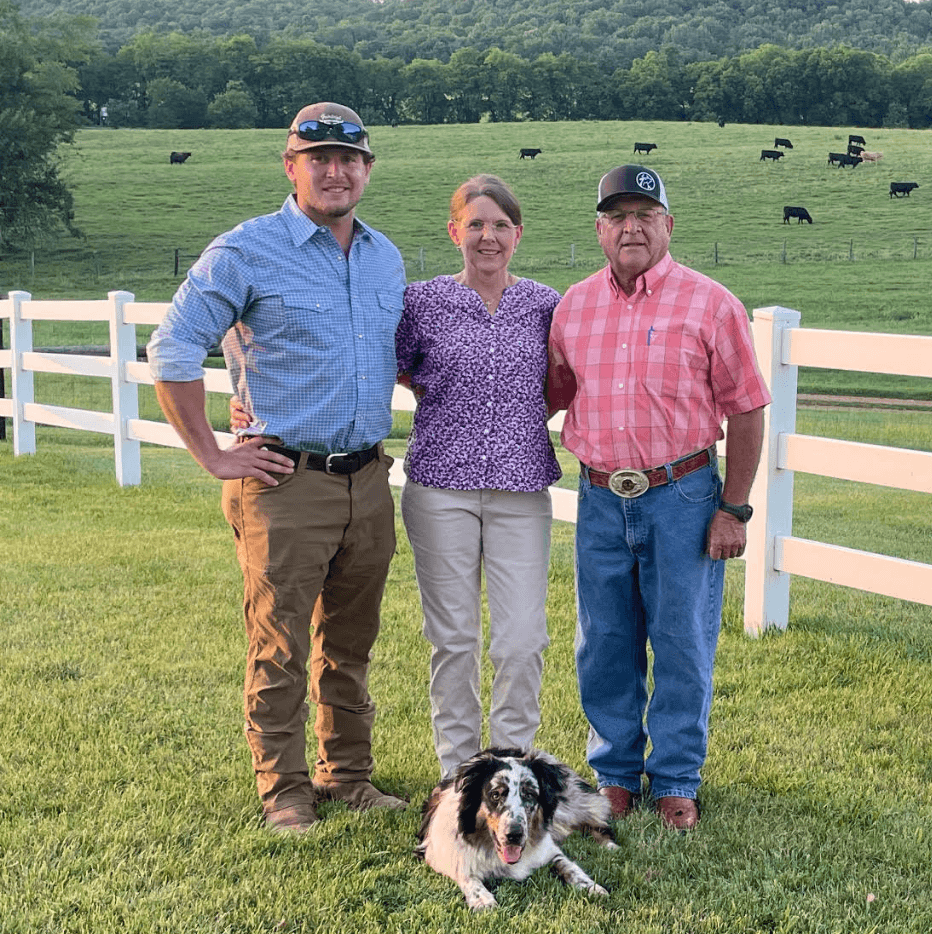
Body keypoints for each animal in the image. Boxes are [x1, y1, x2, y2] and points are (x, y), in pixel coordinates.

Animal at [414, 752, 616, 916]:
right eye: (495, 794)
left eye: (530, 794)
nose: (514, 835)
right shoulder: (438, 852)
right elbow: (465, 873)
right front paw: (483, 900)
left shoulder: (548, 850)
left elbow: (569, 866)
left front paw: (591, 887)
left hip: (569, 807)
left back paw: (609, 845)